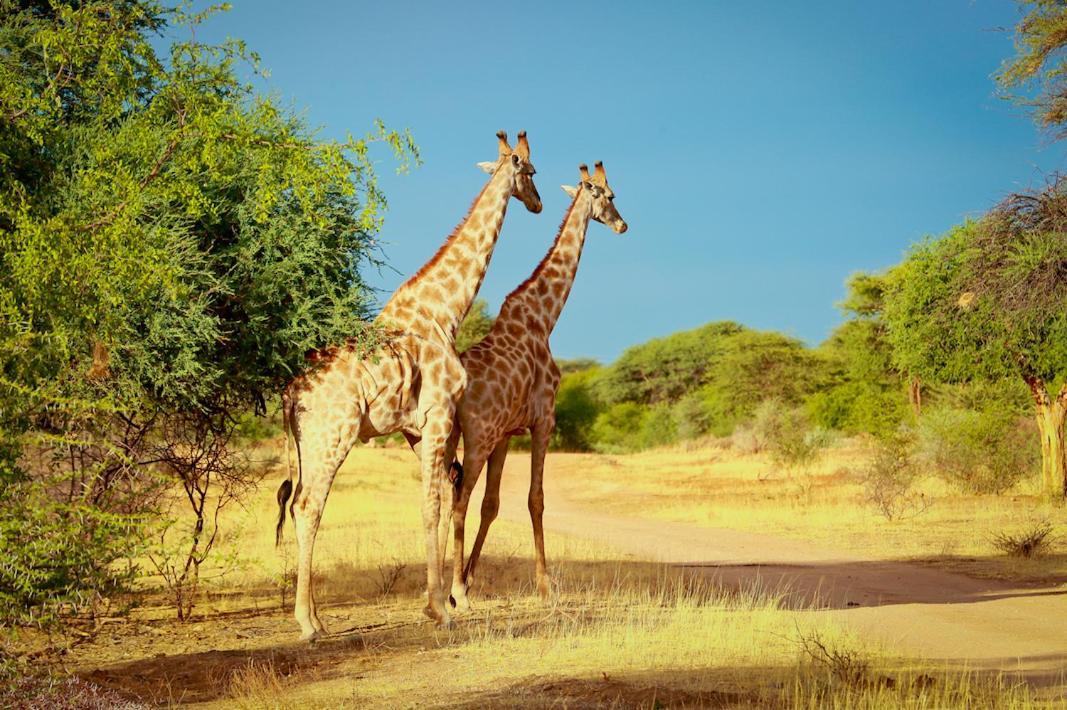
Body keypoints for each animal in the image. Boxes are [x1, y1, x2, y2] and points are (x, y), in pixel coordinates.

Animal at [275, 131, 542, 636]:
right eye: (531, 172)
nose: (537, 204)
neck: (445, 311)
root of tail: (291, 395)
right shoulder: (438, 415)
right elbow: (432, 506)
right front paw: (440, 609)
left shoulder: (417, 429)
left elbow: (435, 501)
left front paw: (436, 601)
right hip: (332, 438)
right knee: (308, 506)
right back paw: (307, 624)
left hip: (307, 445)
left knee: (300, 504)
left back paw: (317, 617)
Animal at [441, 160, 623, 610]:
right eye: (610, 196)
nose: (623, 224)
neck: (545, 317)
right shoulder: (544, 420)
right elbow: (534, 500)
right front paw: (544, 585)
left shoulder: (507, 433)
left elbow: (492, 504)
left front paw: (471, 577)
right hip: (476, 438)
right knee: (458, 500)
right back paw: (455, 594)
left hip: (450, 436)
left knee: (444, 497)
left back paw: (443, 587)